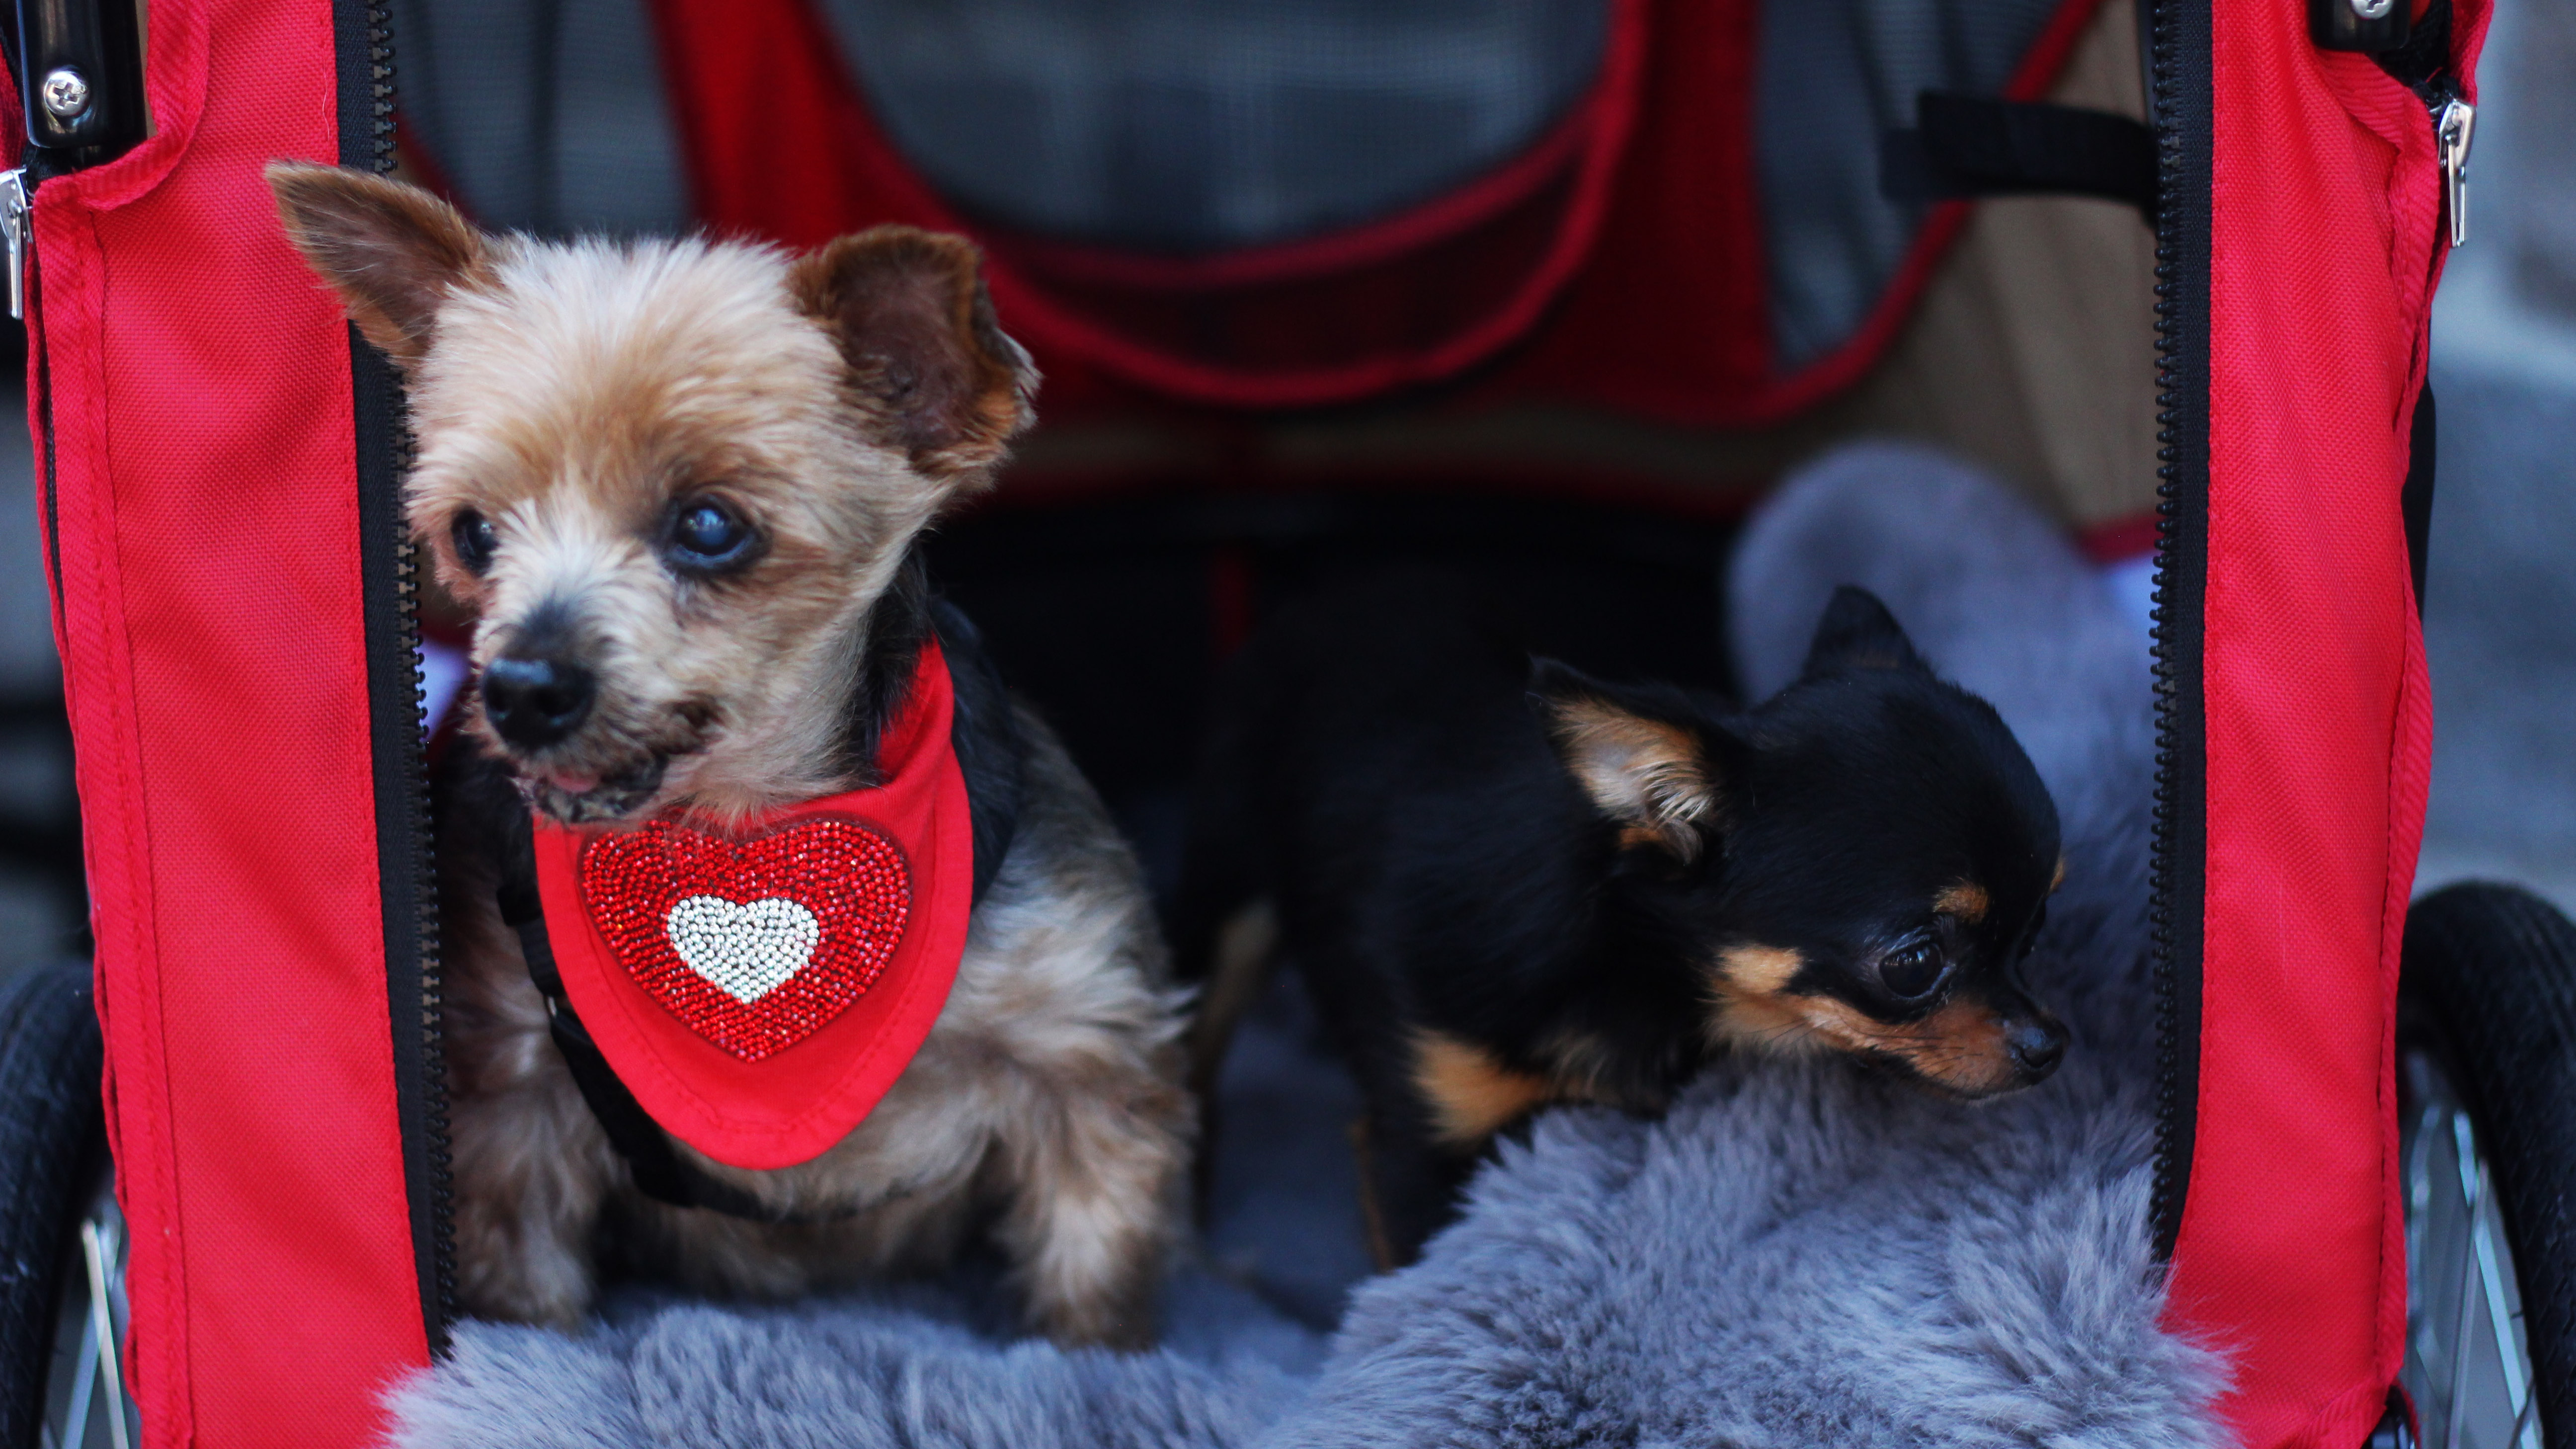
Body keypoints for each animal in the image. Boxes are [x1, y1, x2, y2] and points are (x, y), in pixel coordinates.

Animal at [266, 160, 1190, 1341]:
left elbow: (1091, 1278)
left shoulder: (1084, 1048)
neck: (743, 822)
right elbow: (528, 1297)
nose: (522, 689)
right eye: (474, 532)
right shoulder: (517, 1096)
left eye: (710, 527)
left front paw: (1088, 1356)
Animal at [1180, 569, 2061, 1258]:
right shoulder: (1419, 1153)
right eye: (1913, 963)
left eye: (2036, 933)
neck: (1628, 961)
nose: (2051, 1048)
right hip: (1230, 884)